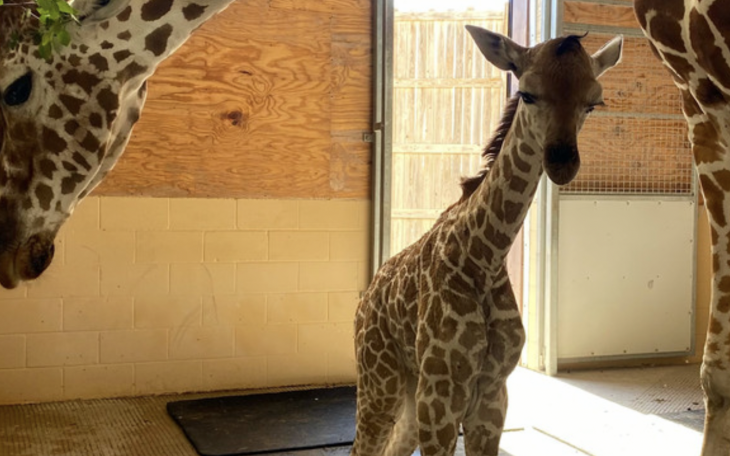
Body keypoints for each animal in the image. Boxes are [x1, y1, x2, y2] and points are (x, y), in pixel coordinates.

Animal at [351, 27, 623, 456]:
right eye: (527, 93)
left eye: (593, 103)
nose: (562, 162)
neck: (485, 256)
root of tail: (364, 301)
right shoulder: (441, 396)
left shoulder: (493, 395)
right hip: (380, 381)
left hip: (408, 389)